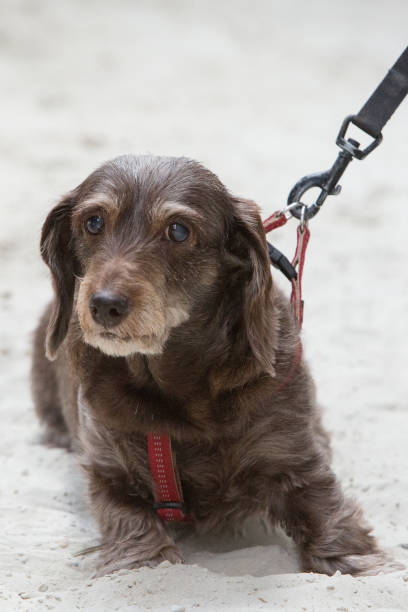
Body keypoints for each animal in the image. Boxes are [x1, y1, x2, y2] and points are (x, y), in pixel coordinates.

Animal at [32, 155, 396, 576]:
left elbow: (326, 510)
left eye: (178, 230)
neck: (172, 386)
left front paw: (358, 562)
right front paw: (146, 557)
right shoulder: (109, 471)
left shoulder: (294, 458)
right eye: (93, 222)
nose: (105, 305)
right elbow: (131, 524)